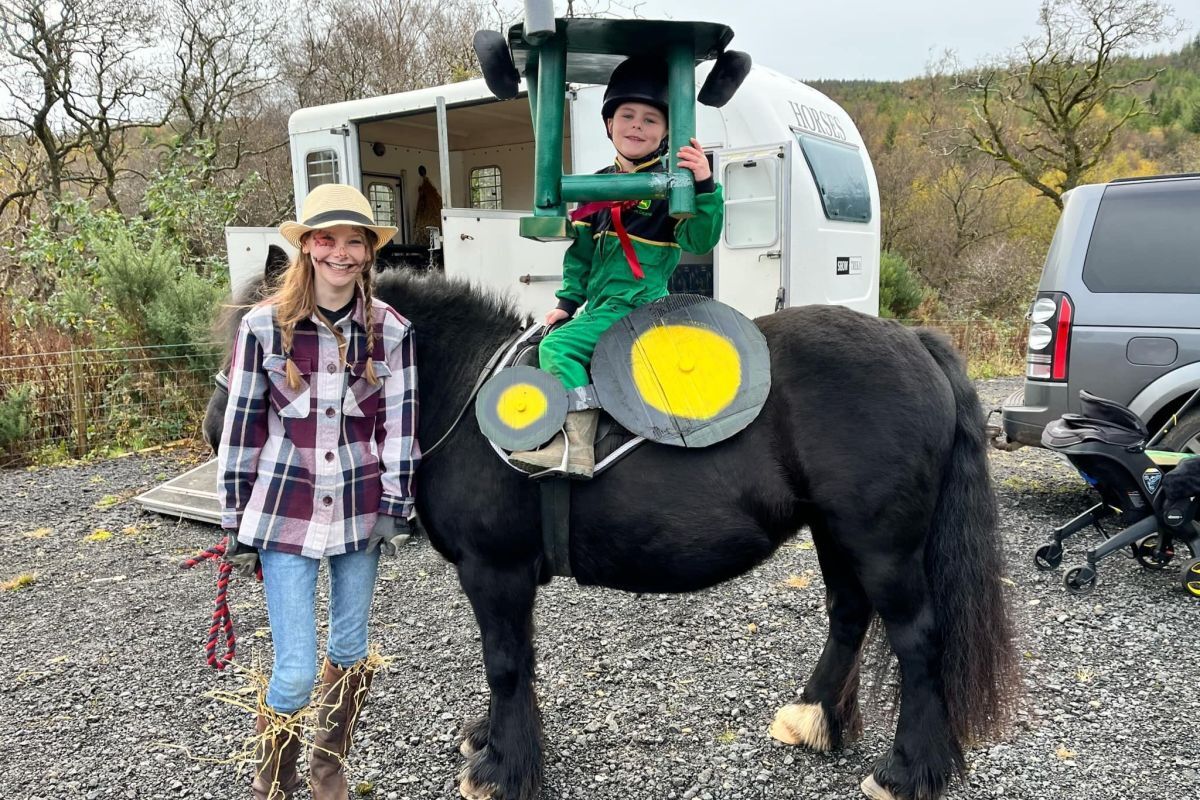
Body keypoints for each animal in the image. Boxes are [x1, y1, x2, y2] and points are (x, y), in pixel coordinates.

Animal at [204, 271, 1012, 800]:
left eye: (273, 344)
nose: (217, 430)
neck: (467, 393)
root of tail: (911, 341)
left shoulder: (494, 571)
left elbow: (505, 663)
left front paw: (501, 770)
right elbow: (517, 664)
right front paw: (495, 741)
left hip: (882, 545)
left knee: (917, 641)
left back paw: (907, 773)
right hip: (836, 534)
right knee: (849, 616)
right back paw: (815, 720)